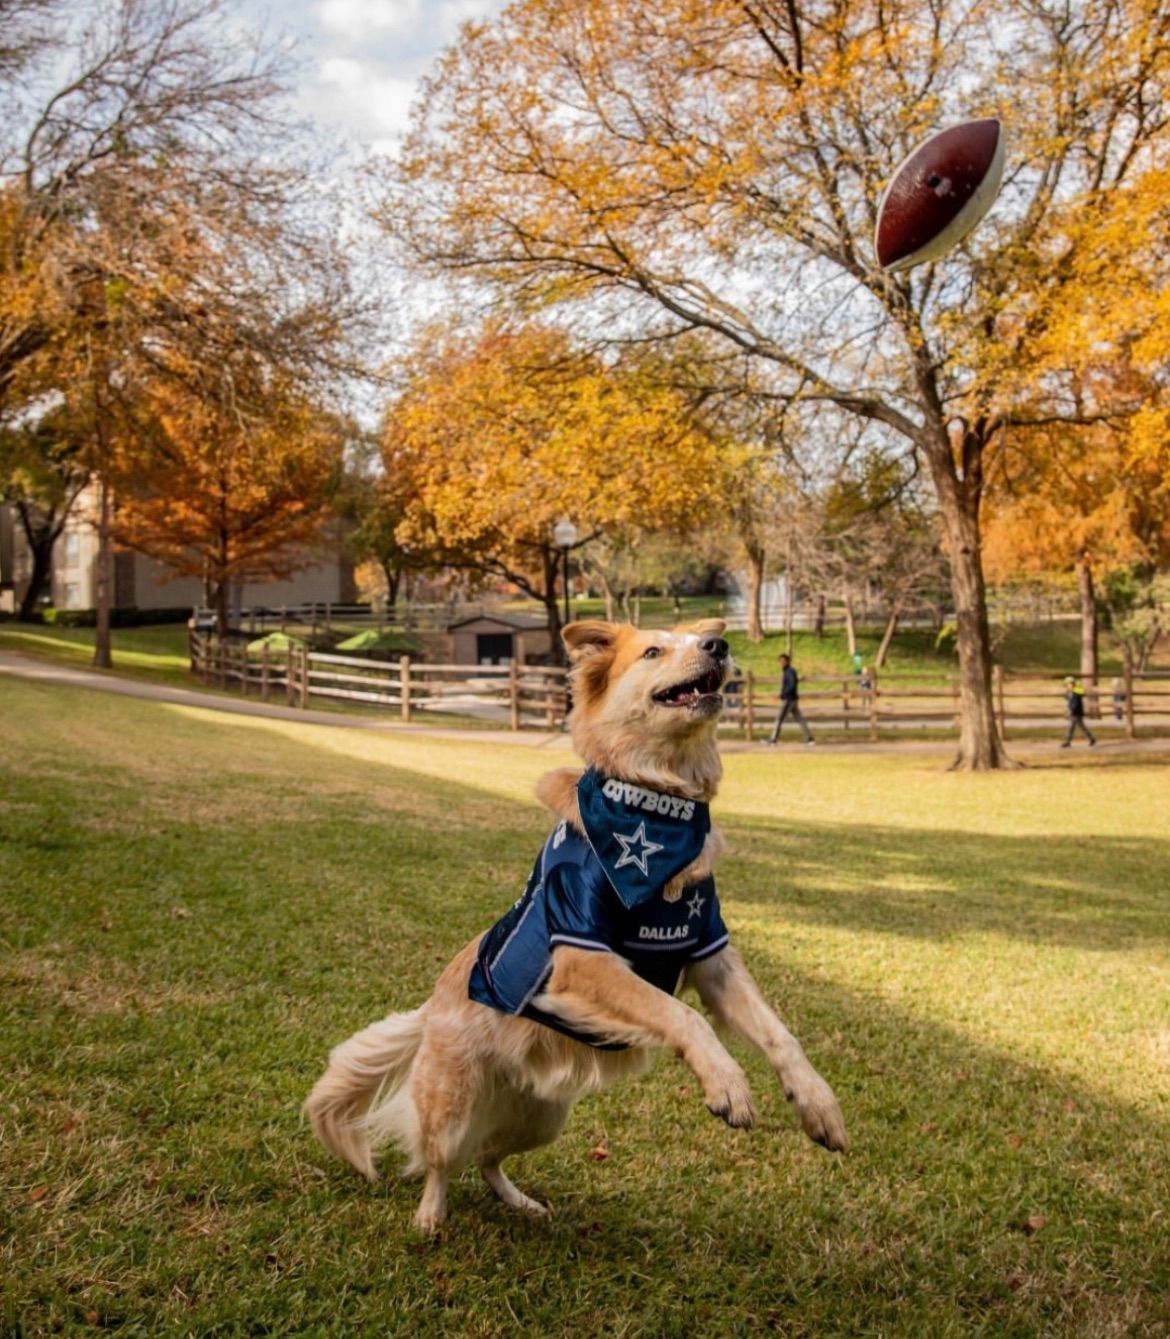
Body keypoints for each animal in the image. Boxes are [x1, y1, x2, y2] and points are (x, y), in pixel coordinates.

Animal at [305, 621, 846, 1226]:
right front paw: (728, 1084)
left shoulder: (712, 956)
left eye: (699, 640)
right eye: (653, 650)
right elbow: (681, 1015)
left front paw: (817, 1103)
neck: (654, 803)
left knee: (488, 1159)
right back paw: (430, 1218)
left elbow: (779, 1033)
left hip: (542, 1117)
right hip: (453, 1107)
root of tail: (428, 1009)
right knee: (439, 1163)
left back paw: (521, 1202)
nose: (719, 646)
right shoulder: (581, 955)